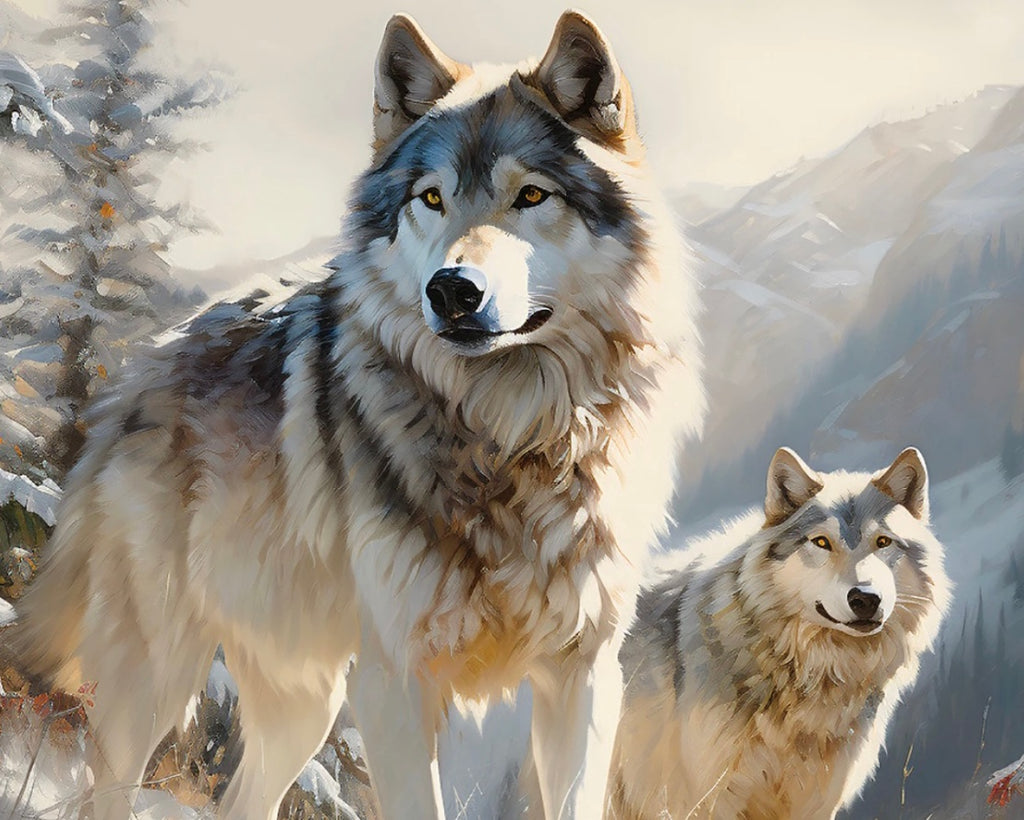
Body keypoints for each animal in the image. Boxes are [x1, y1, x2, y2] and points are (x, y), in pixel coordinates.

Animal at [11, 10, 702, 820]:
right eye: (430, 199)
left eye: (531, 196)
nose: (452, 290)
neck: (508, 438)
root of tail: (142, 367)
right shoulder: (397, 682)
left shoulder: (583, 677)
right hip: (154, 682)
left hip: (302, 702)